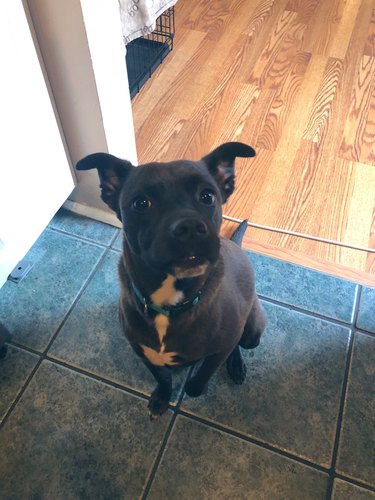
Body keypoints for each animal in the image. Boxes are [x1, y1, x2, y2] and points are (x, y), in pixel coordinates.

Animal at [76, 143, 266, 420]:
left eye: (207, 196)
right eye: (141, 203)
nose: (190, 228)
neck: (170, 305)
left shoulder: (221, 347)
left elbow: (203, 376)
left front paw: (192, 387)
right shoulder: (144, 352)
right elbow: (163, 378)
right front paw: (162, 397)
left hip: (252, 332)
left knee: (240, 343)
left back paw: (236, 365)